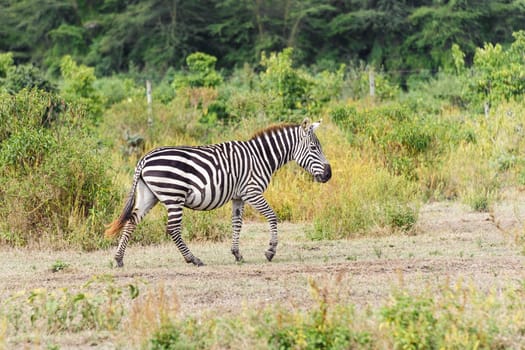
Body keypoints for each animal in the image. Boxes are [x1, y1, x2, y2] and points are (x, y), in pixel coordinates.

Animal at [104, 119, 330, 266]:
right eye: (313, 148)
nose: (329, 174)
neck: (260, 157)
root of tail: (144, 158)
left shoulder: (239, 196)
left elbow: (237, 224)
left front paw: (237, 254)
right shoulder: (252, 192)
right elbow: (273, 217)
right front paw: (270, 251)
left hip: (148, 195)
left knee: (132, 221)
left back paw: (119, 259)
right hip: (173, 196)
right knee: (173, 229)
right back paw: (193, 259)